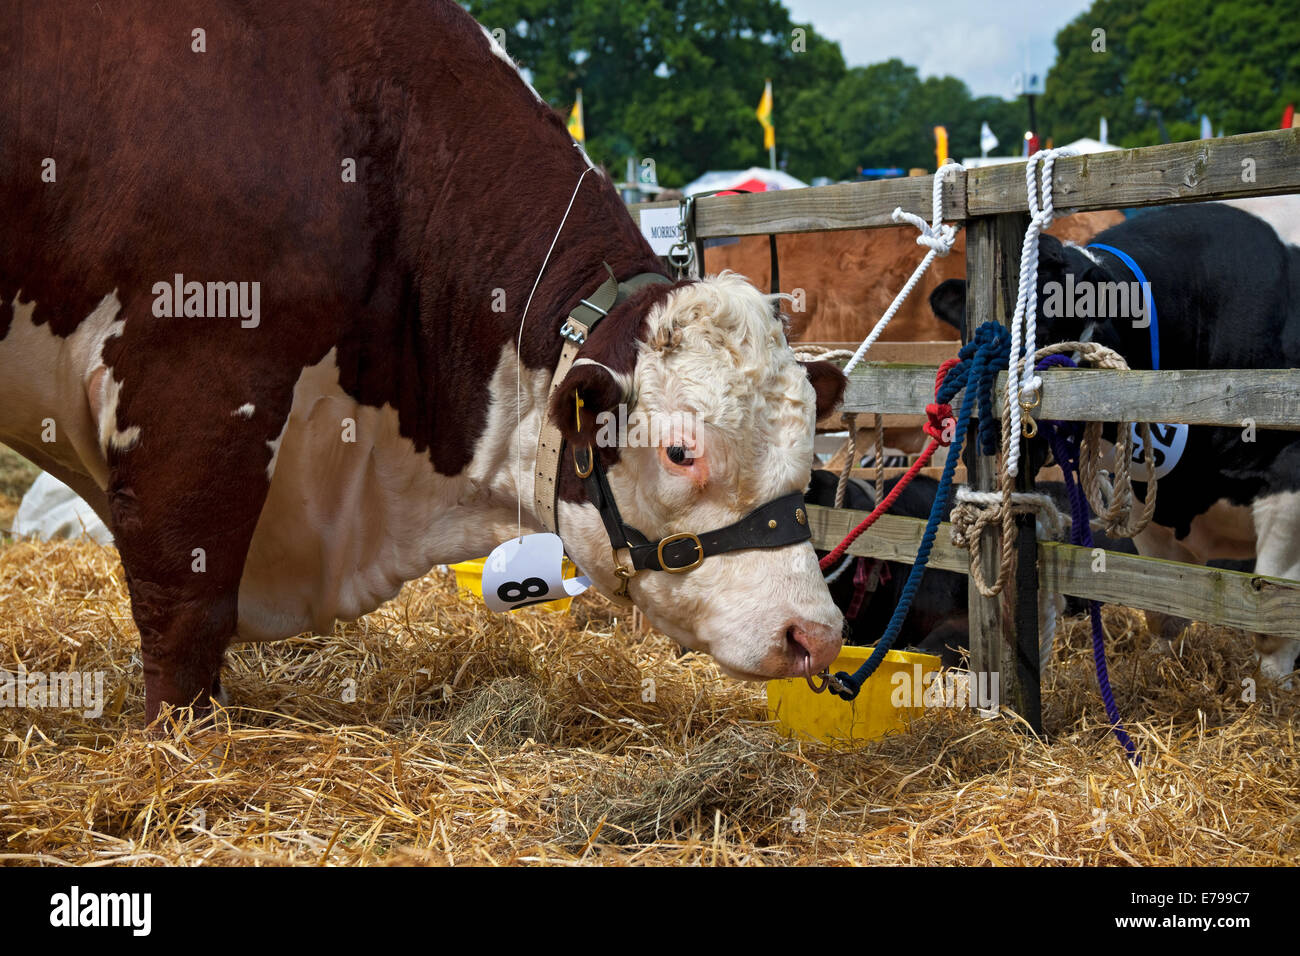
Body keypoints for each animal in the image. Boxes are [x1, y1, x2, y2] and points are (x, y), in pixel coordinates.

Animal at [0, 0, 848, 723]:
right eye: (681, 451)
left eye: (811, 453)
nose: (815, 633)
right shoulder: (194, 390)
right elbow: (185, 609)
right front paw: (183, 746)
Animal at [929, 201, 1300, 683]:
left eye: (1054, 324)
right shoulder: (1147, 499)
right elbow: (1164, 610)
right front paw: (1164, 668)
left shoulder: (1289, 483)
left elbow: (1270, 615)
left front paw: (1275, 687)